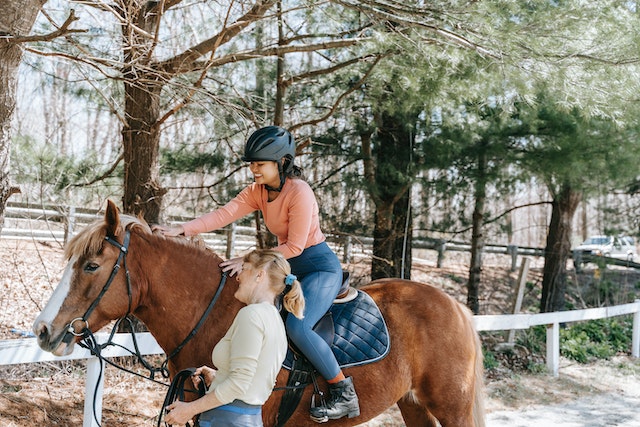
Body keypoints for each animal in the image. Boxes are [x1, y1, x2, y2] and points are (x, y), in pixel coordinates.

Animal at [31, 201, 484, 427]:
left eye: (91, 266)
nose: (43, 330)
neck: (216, 314)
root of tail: (455, 306)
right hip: (414, 404)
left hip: (452, 408)